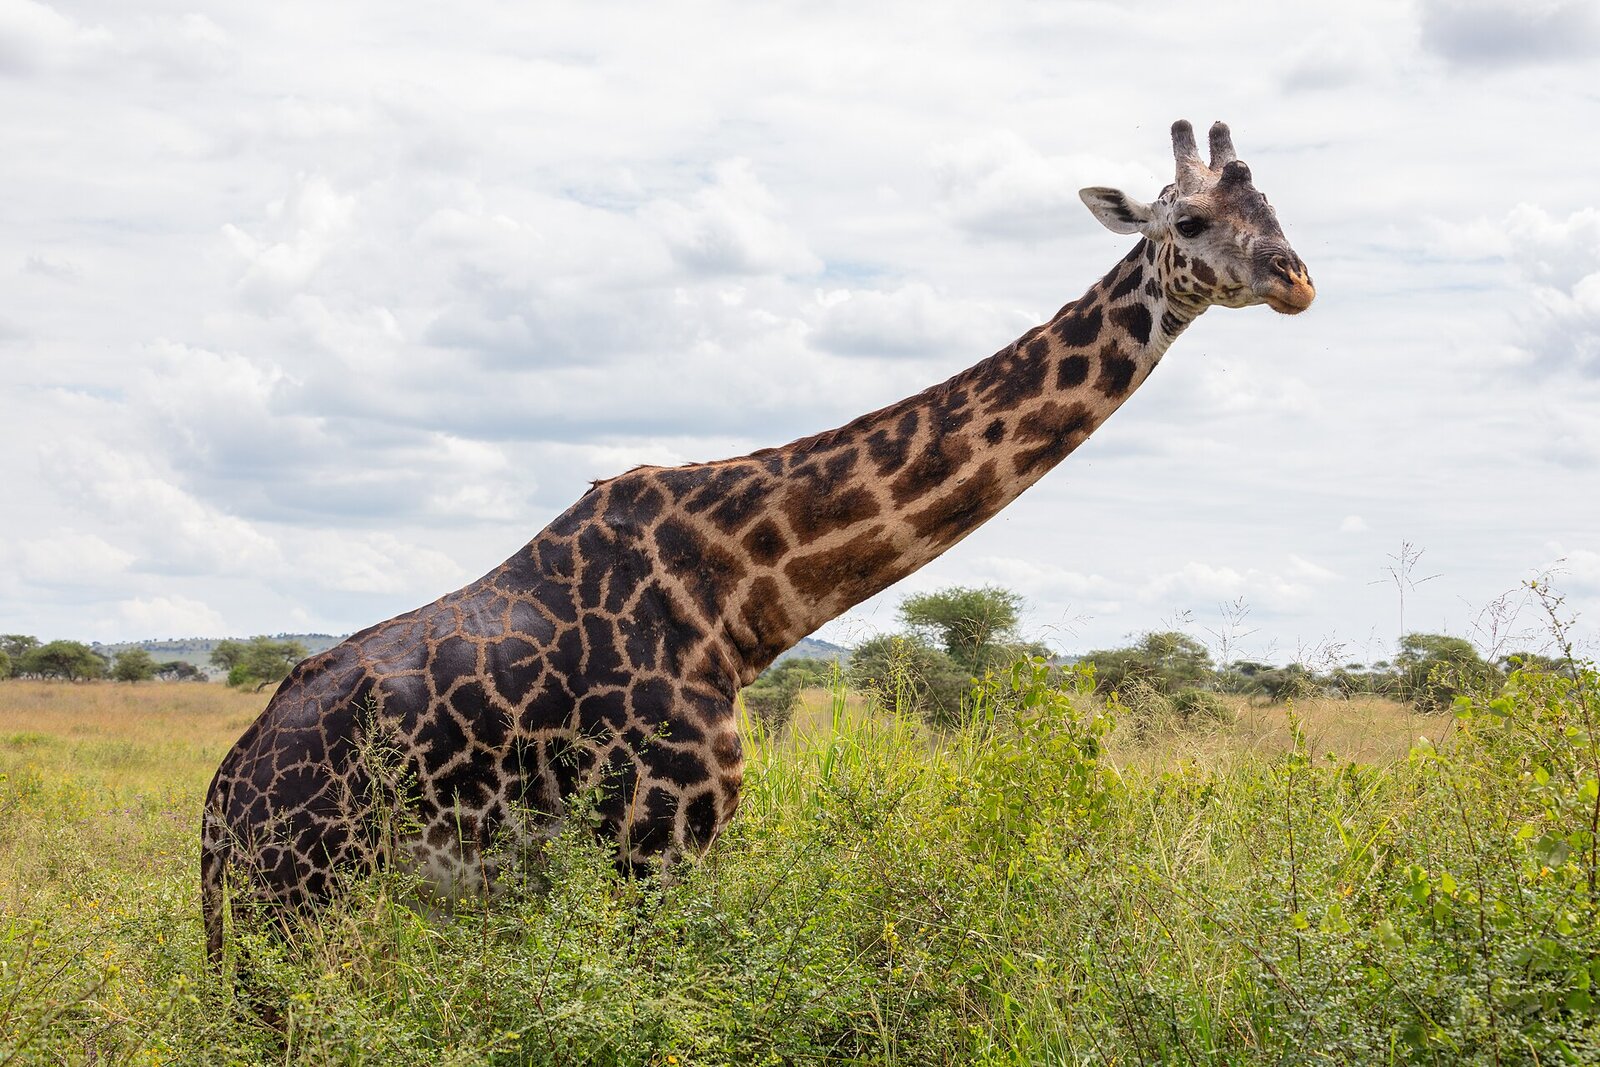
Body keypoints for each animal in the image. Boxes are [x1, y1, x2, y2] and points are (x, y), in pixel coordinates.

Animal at [202, 119, 1313, 958]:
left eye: (1277, 212)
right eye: (1193, 219)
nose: (1296, 278)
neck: (743, 593)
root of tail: (217, 809)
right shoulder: (656, 840)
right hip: (294, 899)